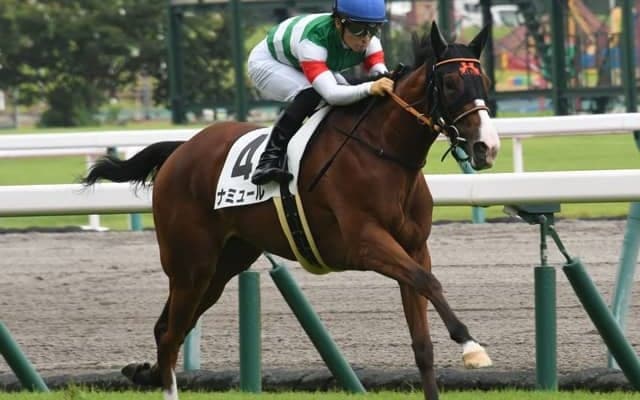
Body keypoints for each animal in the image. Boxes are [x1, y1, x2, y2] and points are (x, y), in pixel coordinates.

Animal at [82, 22, 500, 400]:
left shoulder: (414, 247)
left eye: (483, 81)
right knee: (170, 335)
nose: (487, 147)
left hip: (222, 265)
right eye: (450, 84)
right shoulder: (365, 243)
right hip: (189, 264)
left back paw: (144, 371)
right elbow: (429, 282)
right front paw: (471, 346)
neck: (384, 151)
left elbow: (422, 339)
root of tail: (180, 149)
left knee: (167, 328)